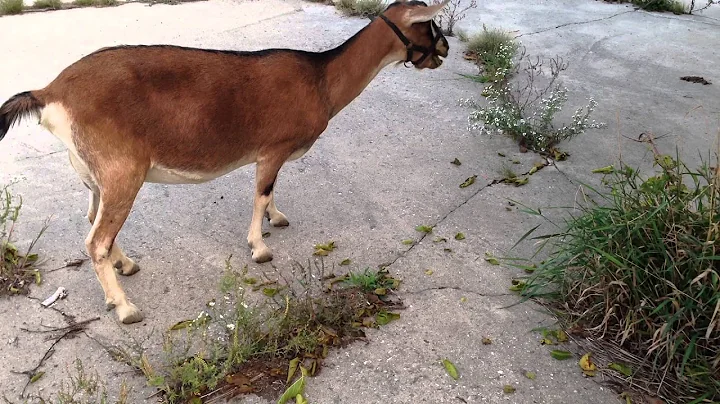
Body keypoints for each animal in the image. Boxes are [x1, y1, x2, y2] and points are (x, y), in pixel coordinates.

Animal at [0, 0, 450, 322]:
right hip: (122, 169)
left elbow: (271, 191)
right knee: (96, 240)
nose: (445, 48)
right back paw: (125, 307)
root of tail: (51, 92)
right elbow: (261, 191)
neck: (320, 79)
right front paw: (260, 247)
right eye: (428, 24)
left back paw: (125, 264)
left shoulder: (273, 153)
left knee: (95, 221)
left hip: (93, 173)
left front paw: (277, 218)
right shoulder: (273, 148)